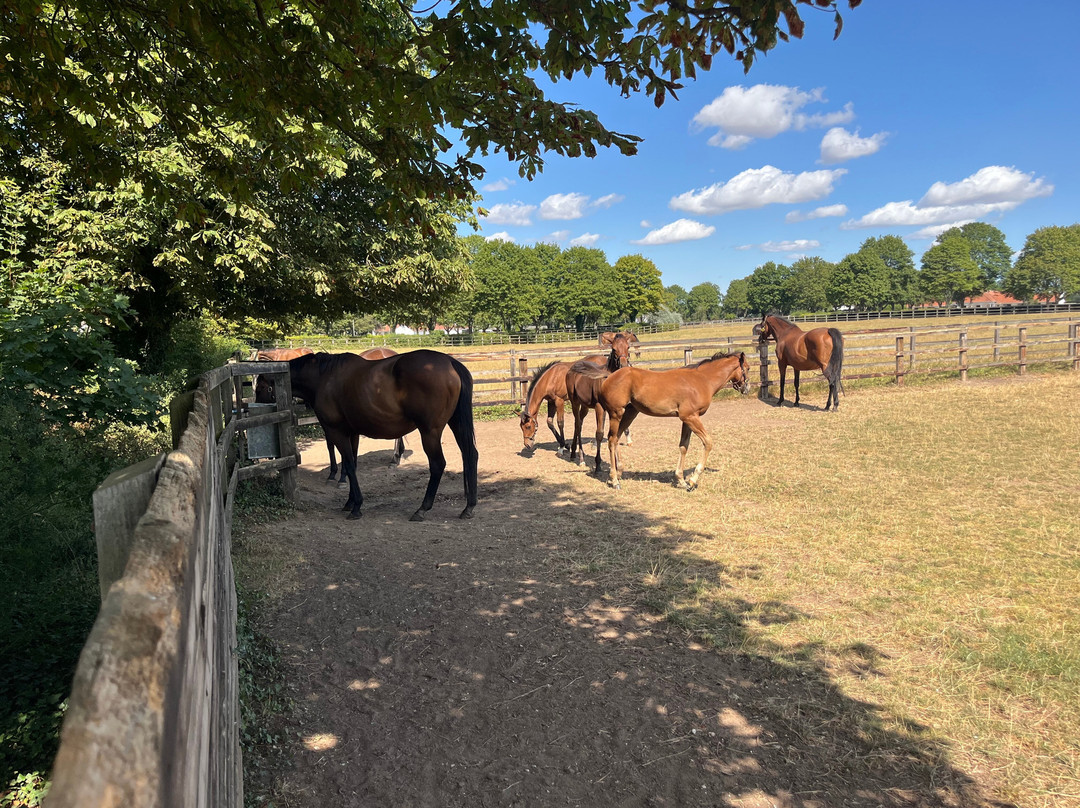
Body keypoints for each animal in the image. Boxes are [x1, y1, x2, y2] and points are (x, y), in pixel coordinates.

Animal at [255, 347, 407, 481]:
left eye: (261, 388)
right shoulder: (326, 423)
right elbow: (331, 446)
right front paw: (333, 473)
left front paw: (343, 476)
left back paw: (394, 459)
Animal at [289, 350, 477, 521]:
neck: (323, 378)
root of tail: (450, 362)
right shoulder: (352, 433)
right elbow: (353, 466)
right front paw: (350, 502)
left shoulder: (336, 432)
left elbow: (348, 465)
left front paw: (356, 506)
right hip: (456, 423)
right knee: (471, 455)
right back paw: (469, 507)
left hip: (429, 432)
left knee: (438, 464)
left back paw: (422, 509)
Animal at [592, 351, 750, 491]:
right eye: (747, 368)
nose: (746, 388)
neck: (703, 380)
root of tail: (609, 377)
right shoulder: (691, 417)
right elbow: (708, 442)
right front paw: (692, 480)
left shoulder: (687, 420)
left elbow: (684, 446)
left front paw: (681, 480)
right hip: (616, 413)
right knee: (612, 440)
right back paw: (614, 480)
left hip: (630, 412)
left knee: (616, 438)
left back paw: (618, 473)